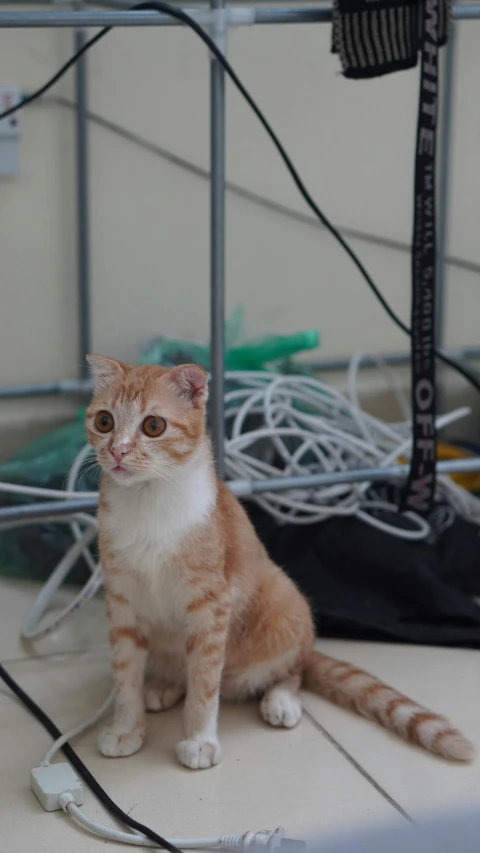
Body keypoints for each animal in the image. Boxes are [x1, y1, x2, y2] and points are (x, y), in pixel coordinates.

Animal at [86, 356, 472, 768]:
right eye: (105, 421)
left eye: (153, 426)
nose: (118, 451)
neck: (147, 505)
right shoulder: (122, 602)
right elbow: (125, 675)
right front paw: (126, 728)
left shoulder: (212, 604)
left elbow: (204, 681)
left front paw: (199, 739)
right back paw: (164, 686)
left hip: (285, 602)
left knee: (291, 669)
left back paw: (281, 699)